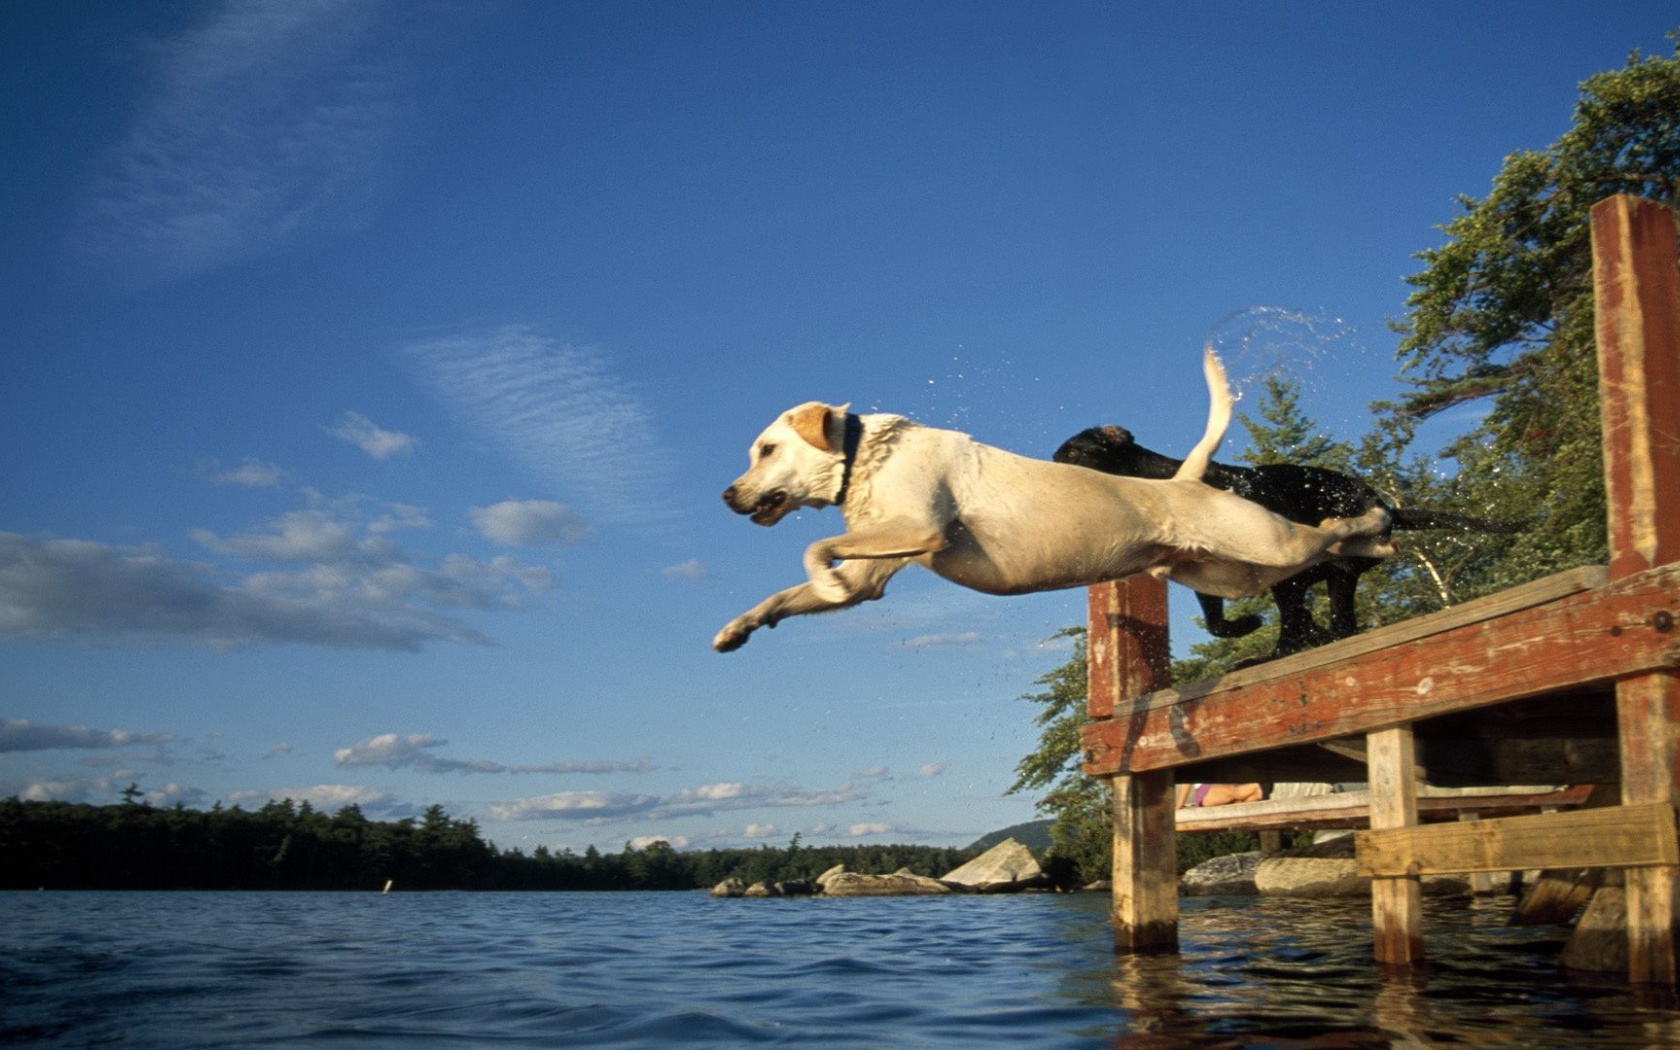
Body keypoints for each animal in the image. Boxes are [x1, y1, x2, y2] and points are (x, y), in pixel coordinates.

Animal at [715, 347, 1397, 651]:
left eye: (766, 450)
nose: (726, 495)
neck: (863, 455)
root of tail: (1182, 481)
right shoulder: (872, 575)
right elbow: (786, 595)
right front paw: (736, 629)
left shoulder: (919, 526)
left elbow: (814, 547)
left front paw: (821, 582)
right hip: (1234, 575)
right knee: (1308, 567)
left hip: (1270, 543)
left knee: (1330, 532)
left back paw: (1376, 522)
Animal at [1055, 423, 1518, 655]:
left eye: (1073, 454)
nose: (1050, 469)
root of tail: (1387, 506)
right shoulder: (1209, 579)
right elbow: (1218, 624)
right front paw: (1250, 626)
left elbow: (1285, 621)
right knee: (1314, 620)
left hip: (1334, 571)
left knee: (1339, 624)